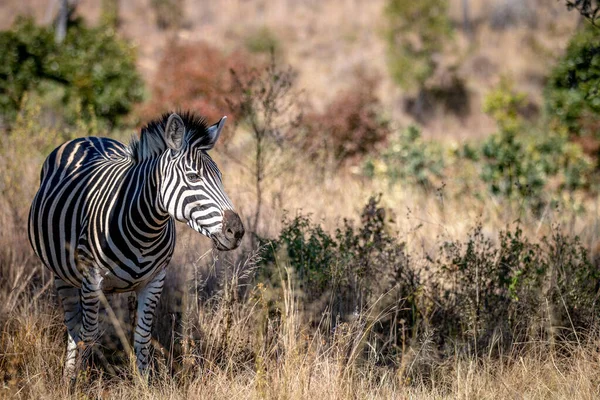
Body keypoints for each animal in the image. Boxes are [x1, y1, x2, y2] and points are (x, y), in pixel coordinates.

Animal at [28, 111, 244, 380]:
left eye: (221, 178)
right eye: (193, 176)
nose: (237, 231)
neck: (146, 228)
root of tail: (89, 137)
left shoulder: (155, 280)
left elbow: (142, 335)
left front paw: (144, 382)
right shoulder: (91, 279)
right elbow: (87, 336)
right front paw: (81, 383)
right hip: (63, 275)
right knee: (74, 326)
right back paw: (69, 378)